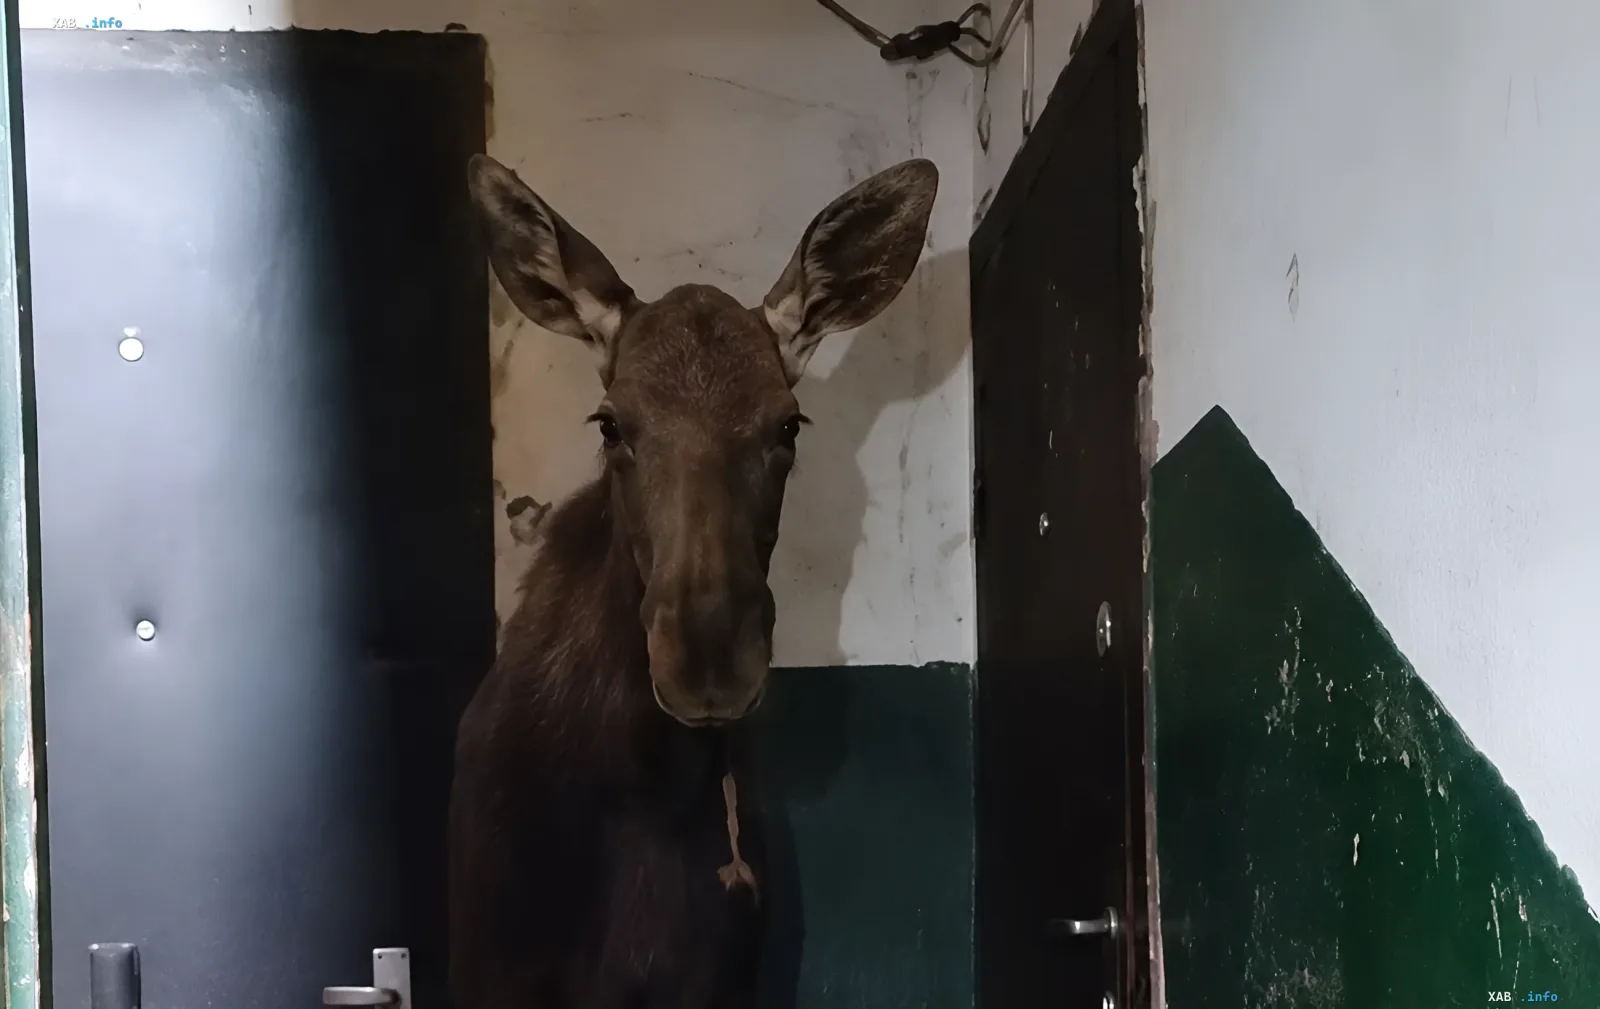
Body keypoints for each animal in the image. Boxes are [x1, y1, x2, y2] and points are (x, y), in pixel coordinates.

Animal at [447, 152, 938, 1009]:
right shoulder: (491, 972)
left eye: (788, 424)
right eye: (610, 422)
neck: (643, 782)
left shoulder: (714, 981)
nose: (707, 662)